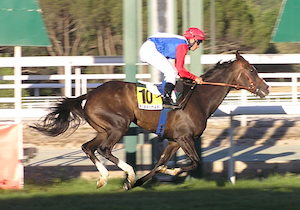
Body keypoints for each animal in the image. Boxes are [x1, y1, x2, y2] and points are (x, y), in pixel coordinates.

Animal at [32, 51, 270, 189]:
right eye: (252, 69)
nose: (266, 88)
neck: (199, 99)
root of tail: (89, 94)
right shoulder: (185, 138)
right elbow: (194, 162)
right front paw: (169, 172)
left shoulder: (175, 140)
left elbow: (160, 162)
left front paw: (144, 180)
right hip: (118, 126)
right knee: (105, 149)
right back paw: (128, 173)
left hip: (103, 129)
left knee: (88, 147)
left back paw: (104, 178)